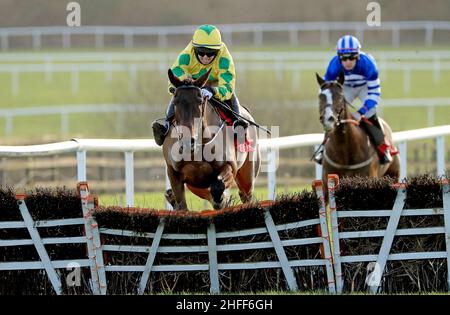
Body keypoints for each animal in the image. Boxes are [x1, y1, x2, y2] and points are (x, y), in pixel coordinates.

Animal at [162, 69, 260, 212]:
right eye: (175, 102)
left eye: (200, 101)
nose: (187, 142)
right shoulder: (174, 173)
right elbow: (182, 206)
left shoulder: (231, 167)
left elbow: (218, 185)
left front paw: (221, 199)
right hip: (195, 185)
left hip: (247, 175)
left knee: (245, 195)